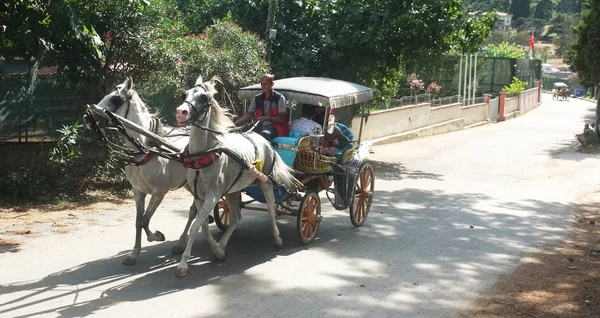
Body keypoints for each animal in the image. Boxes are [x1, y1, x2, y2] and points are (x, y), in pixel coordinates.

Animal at [86, 77, 199, 266]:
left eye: (115, 98)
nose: (87, 117)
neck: (146, 148)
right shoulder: (138, 191)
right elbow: (138, 221)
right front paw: (134, 253)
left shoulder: (159, 192)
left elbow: (145, 220)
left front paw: (157, 236)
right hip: (190, 184)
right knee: (194, 210)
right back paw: (181, 244)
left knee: (195, 210)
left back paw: (182, 243)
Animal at [173, 76, 304, 278]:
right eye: (184, 94)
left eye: (203, 97)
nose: (181, 112)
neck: (202, 155)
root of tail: (266, 141)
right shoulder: (199, 197)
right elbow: (202, 226)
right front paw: (217, 251)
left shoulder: (212, 196)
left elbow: (195, 226)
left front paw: (183, 265)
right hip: (232, 190)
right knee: (235, 218)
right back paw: (222, 245)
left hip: (266, 183)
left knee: (271, 210)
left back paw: (277, 239)